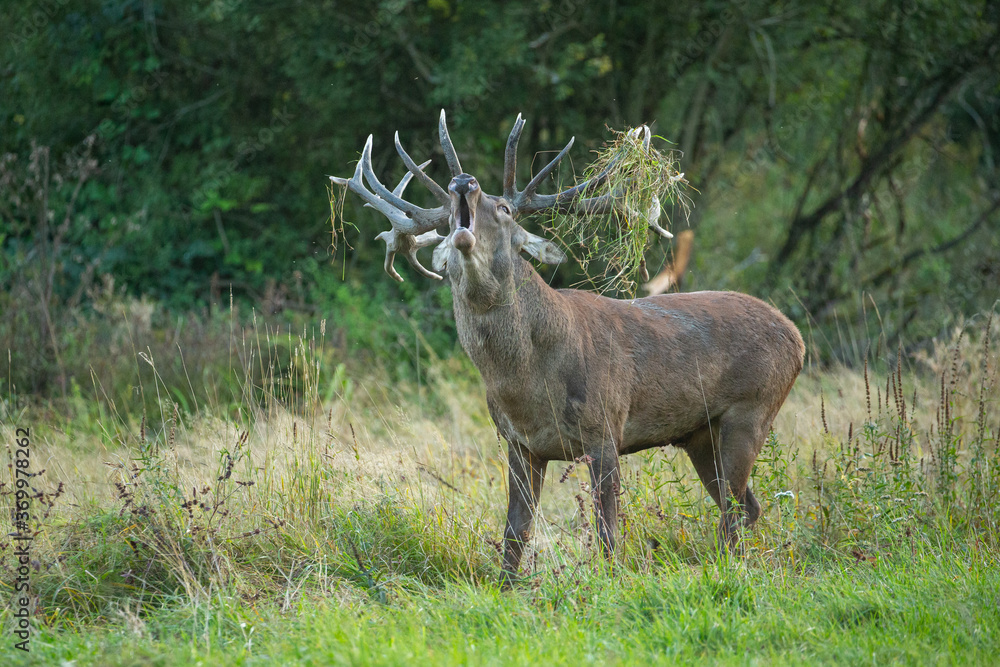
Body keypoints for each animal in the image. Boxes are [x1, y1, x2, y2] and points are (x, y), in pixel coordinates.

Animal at [330, 111, 805, 586]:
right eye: (448, 215)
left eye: (504, 209)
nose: (463, 182)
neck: (526, 386)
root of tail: (797, 339)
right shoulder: (518, 443)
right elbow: (515, 531)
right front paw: (506, 587)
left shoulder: (606, 427)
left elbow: (607, 530)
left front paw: (609, 582)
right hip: (699, 433)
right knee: (743, 506)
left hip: (752, 409)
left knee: (734, 507)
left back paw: (729, 568)